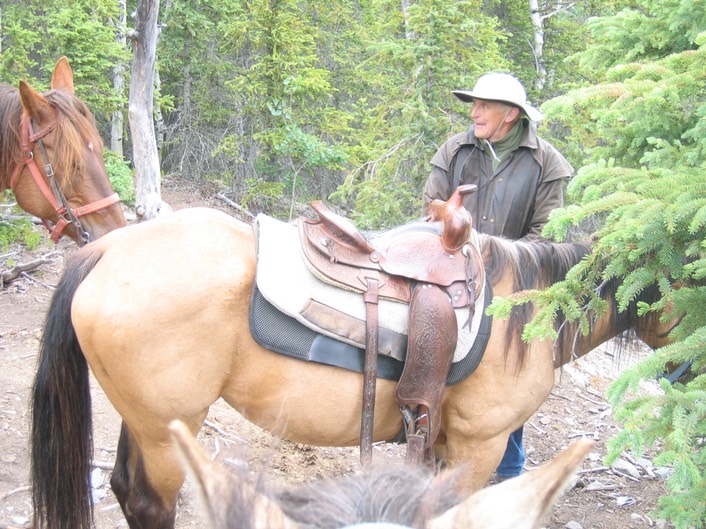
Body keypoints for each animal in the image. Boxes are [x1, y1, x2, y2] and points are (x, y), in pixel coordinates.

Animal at [30, 206, 668, 528]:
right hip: (168, 430)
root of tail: (105, 249)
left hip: (144, 420)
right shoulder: (477, 446)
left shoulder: (440, 443)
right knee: (148, 504)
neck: (526, 311)